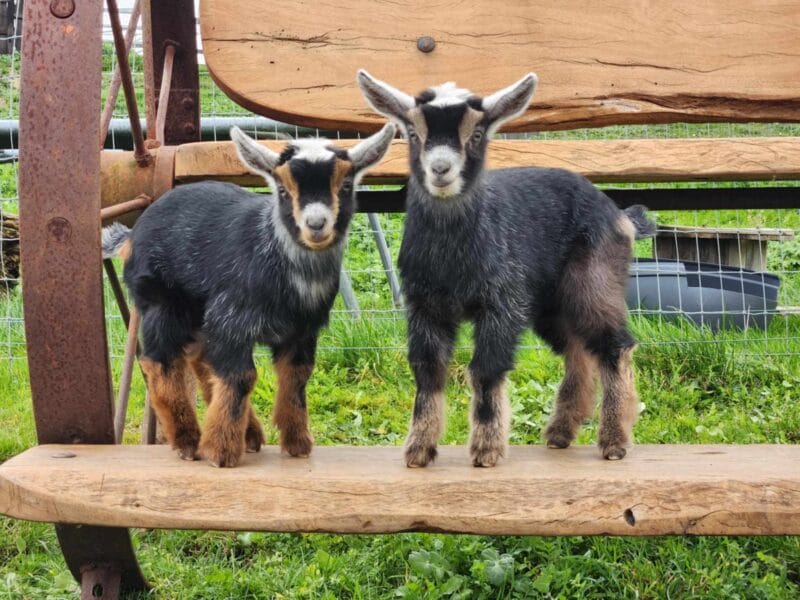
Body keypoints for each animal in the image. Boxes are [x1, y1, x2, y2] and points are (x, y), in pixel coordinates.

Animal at [102, 124, 396, 467]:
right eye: (282, 190)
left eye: (346, 185)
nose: (316, 225)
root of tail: (131, 234)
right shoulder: (232, 319)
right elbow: (241, 376)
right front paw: (221, 452)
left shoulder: (302, 331)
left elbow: (296, 378)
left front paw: (297, 444)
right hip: (162, 301)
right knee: (159, 360)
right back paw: (188, 441)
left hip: (198, 312)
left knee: (199, 356)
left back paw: (249, 435)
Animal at [357, 71, 655, 467]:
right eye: (413, 133)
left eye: (477, 134)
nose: (440, 169)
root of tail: (619, 215)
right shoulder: (424, 306)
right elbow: (427, 370)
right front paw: (419, 449)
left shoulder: (502, 303)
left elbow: (486, 369)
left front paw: (487, 449)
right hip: (549, 303)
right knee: (578, 351)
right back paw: (561, 433)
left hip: (594, 280)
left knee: (614, 346)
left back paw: (614, 440)